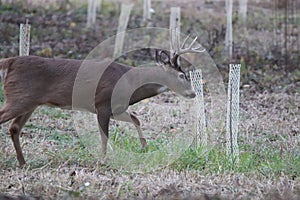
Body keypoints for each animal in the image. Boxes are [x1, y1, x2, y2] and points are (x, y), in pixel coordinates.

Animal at [0, 35, 203, 166]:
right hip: (19, 97)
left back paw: (23, 162)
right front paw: (103, 160)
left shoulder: (116, 108)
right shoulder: (102, 104)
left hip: (30, 102)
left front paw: (144, 146)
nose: (193, 93)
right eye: (182, 75)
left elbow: (136, 118)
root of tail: (10, 61)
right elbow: (104, 137)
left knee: (14, 128)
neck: (130, 83)